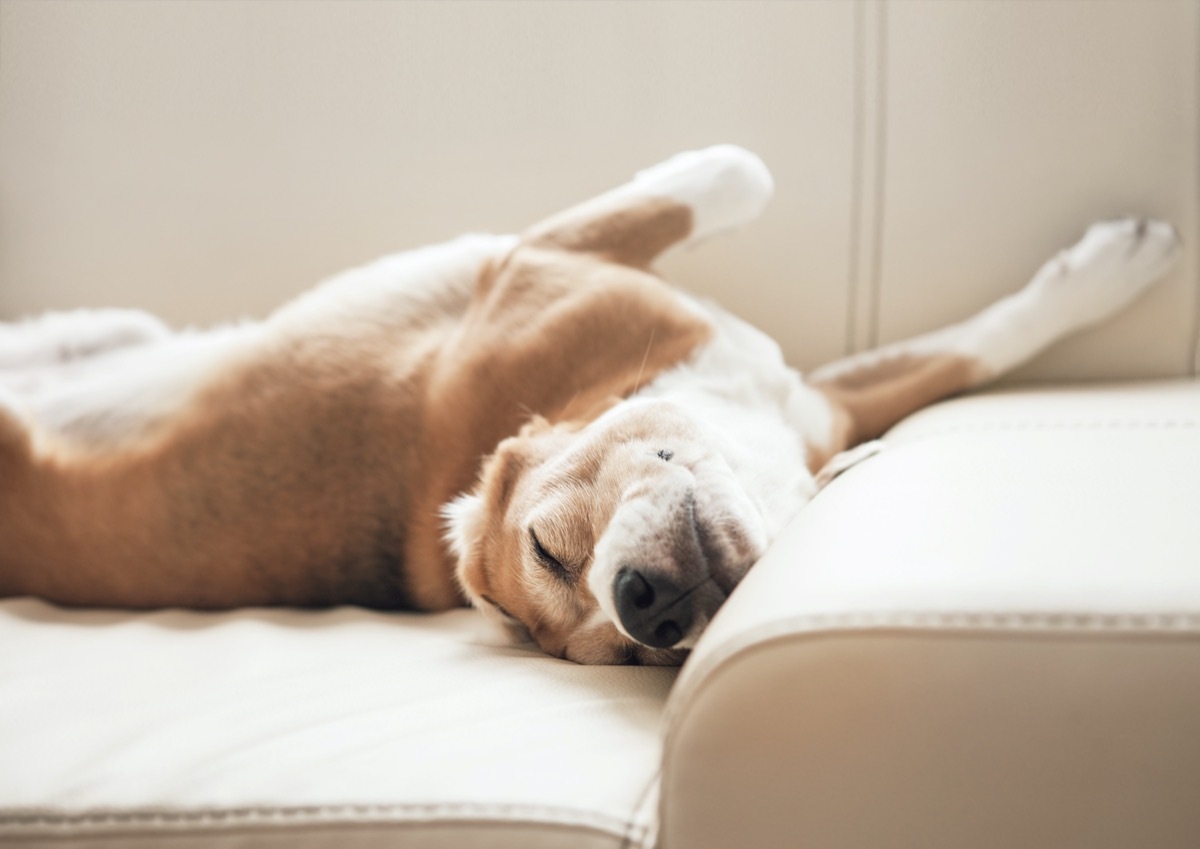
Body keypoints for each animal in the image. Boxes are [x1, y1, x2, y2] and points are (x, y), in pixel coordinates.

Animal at [0, 144, 1180, 661]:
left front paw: (1109, 272)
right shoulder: (538, 259)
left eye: (548, 547)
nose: (644, 606)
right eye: (623, 652)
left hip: (99, 329)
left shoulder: (811, 401)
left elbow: (966, 352)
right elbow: (736, 175)